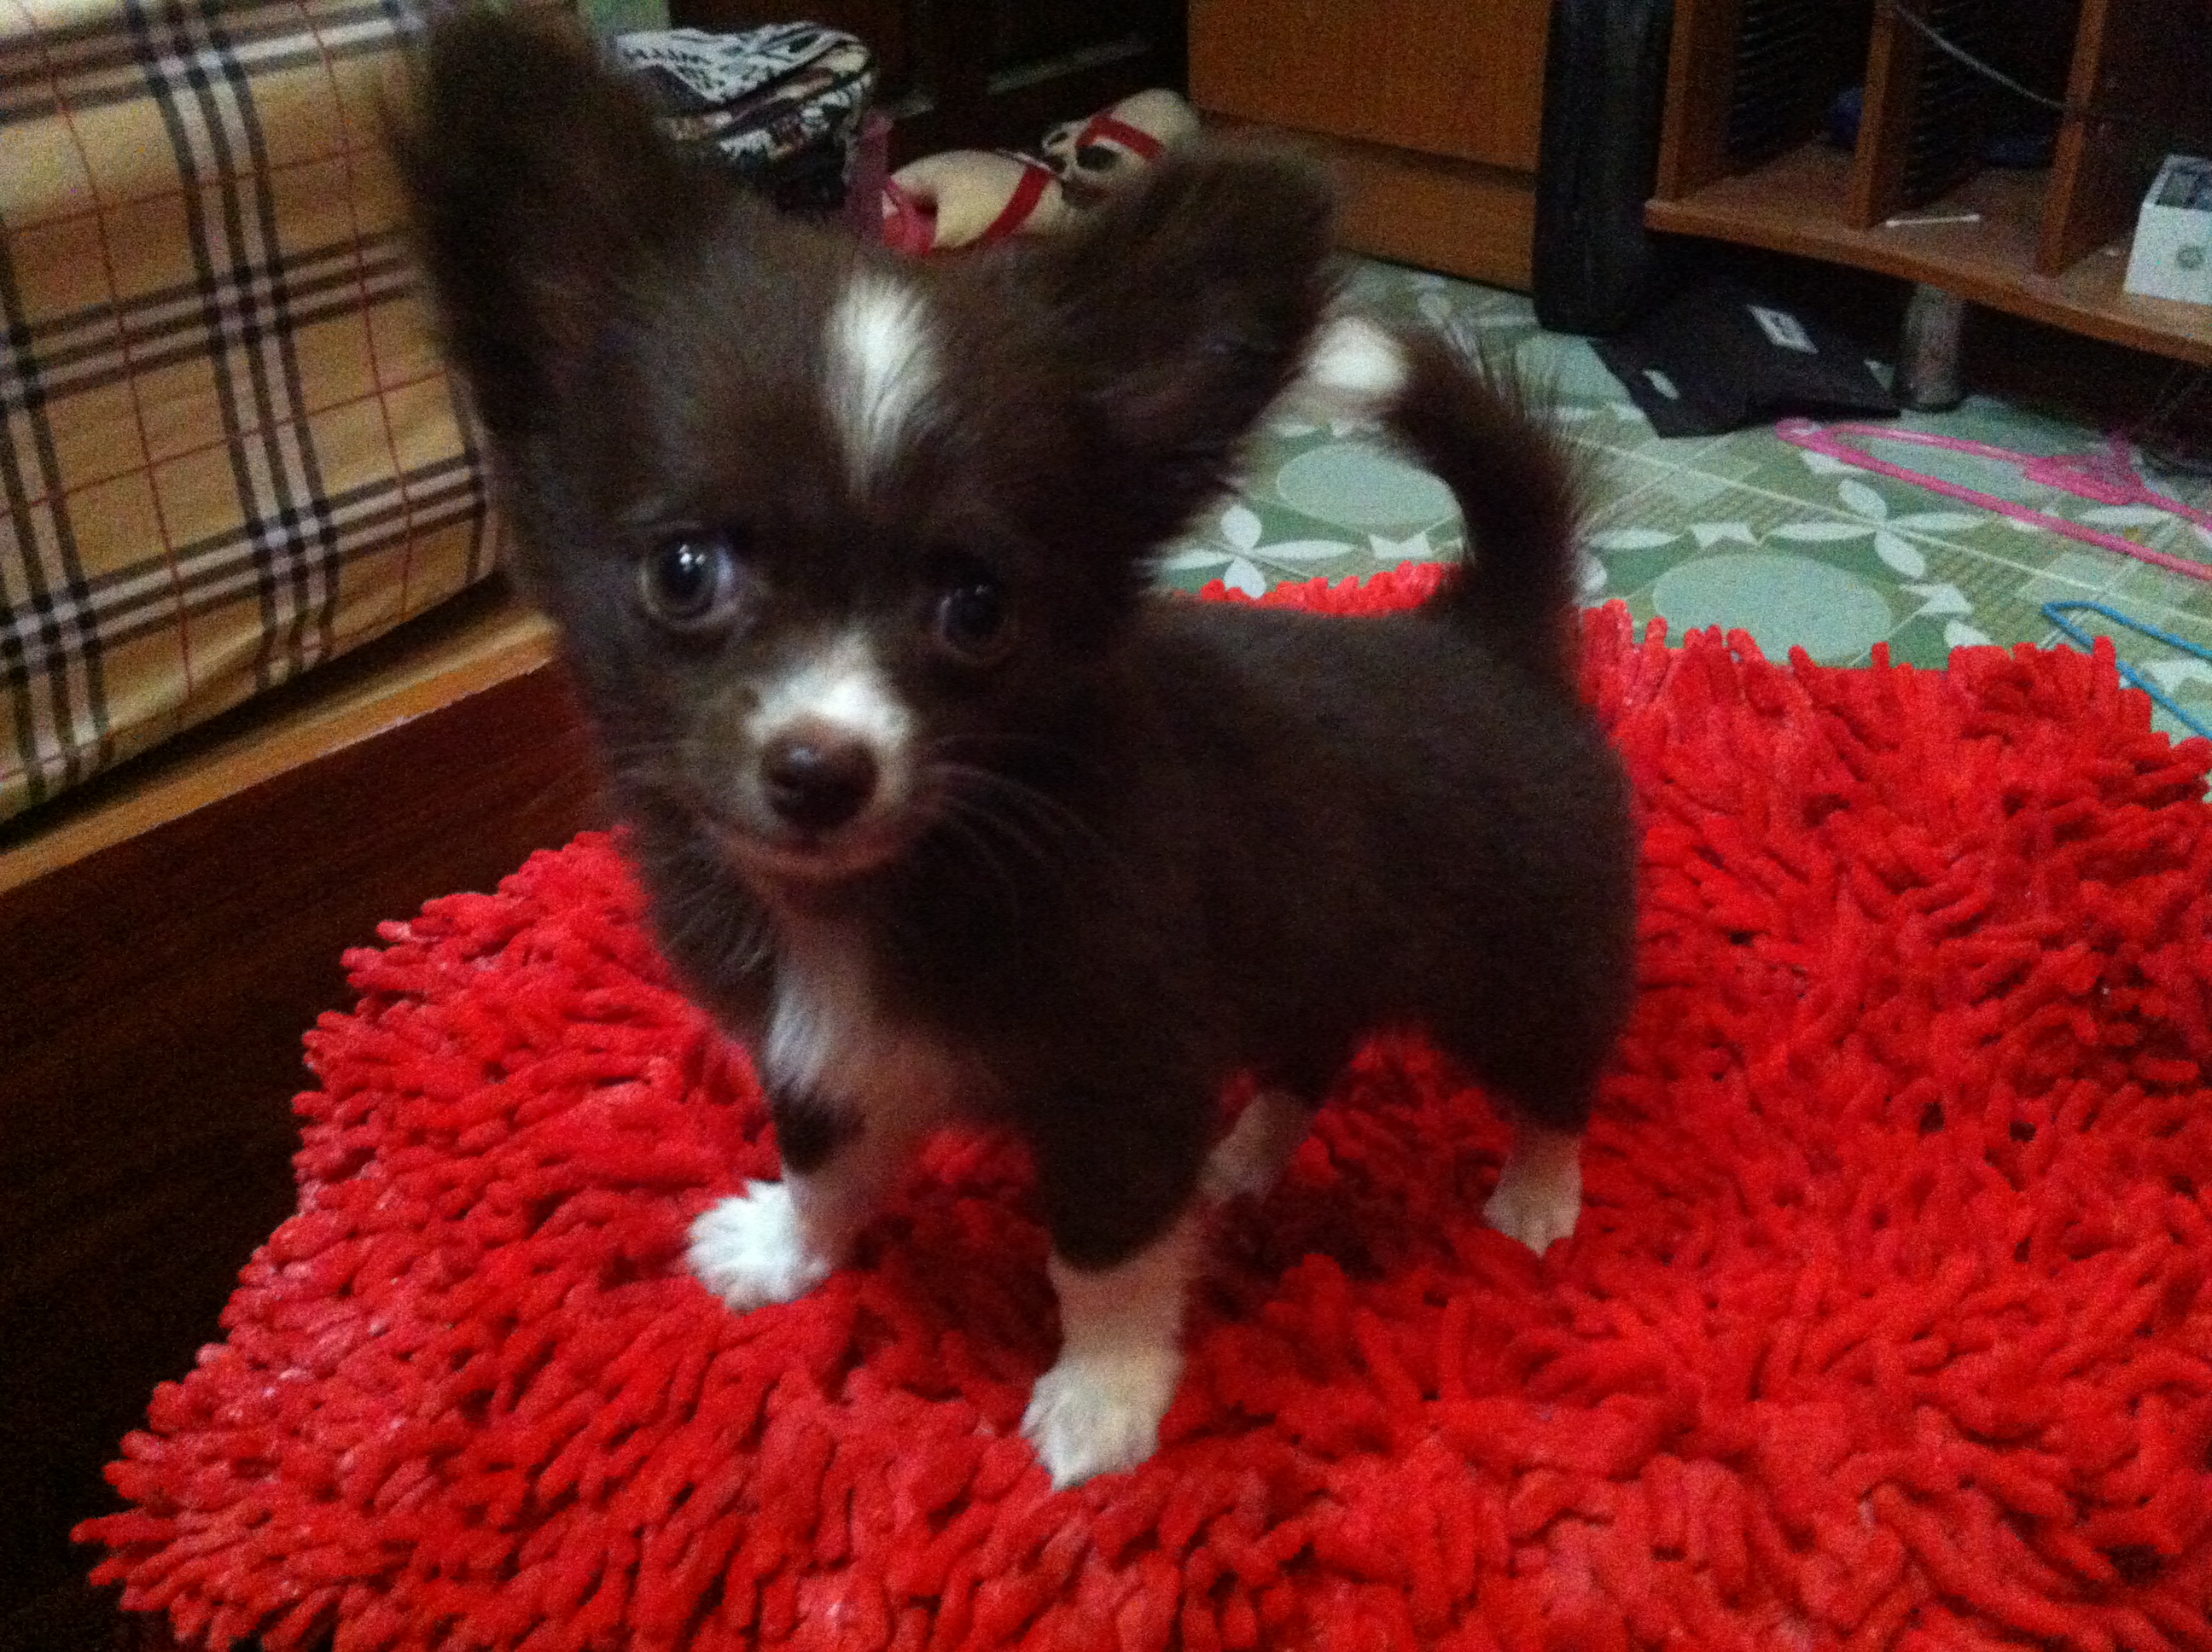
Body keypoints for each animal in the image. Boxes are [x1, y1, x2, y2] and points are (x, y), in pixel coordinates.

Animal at [398, 10, 1638, 1490]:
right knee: (1312, 1050)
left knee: (1559, 1068)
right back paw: (1247, 1157)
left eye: (976, 606)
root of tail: (1487, 623)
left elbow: (1102, 1255)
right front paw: (788, 1253)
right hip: (1323, 948)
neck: (873, 897)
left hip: (1524, 954)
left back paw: (1537, 1195)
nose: (819, 769)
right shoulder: (816, 1050)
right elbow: (825, 1159)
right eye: (684, 572)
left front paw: (1102, 1404)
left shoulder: (1122, 1074)